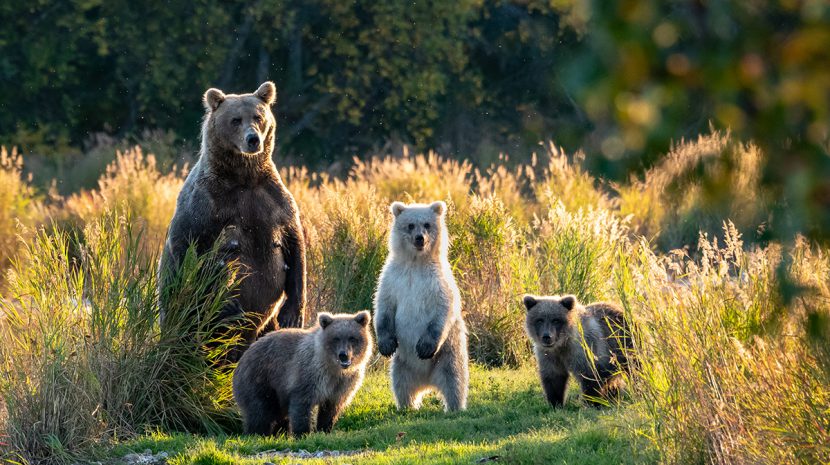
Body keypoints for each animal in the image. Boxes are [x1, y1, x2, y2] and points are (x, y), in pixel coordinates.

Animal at [158, 81, 306, 358]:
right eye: (235, 119)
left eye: (258, 117)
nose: (253, 139)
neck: (243, 177)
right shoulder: (206, 205)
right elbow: (193, 249)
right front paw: (229, 304)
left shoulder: (273, 200)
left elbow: (295, 245)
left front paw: (293, 314)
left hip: (266, 326)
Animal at [234, 312, 376, 436]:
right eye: (336, 338)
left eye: (352, 338)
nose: (343, 355)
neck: (333, 369)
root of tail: (242, 359)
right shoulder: (309, 374)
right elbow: (302, 404)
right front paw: (303, 433)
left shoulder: (343, 384)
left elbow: (331, 409)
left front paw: (324, 429)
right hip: (260, 379)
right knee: (260, 411)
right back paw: (257, 433)